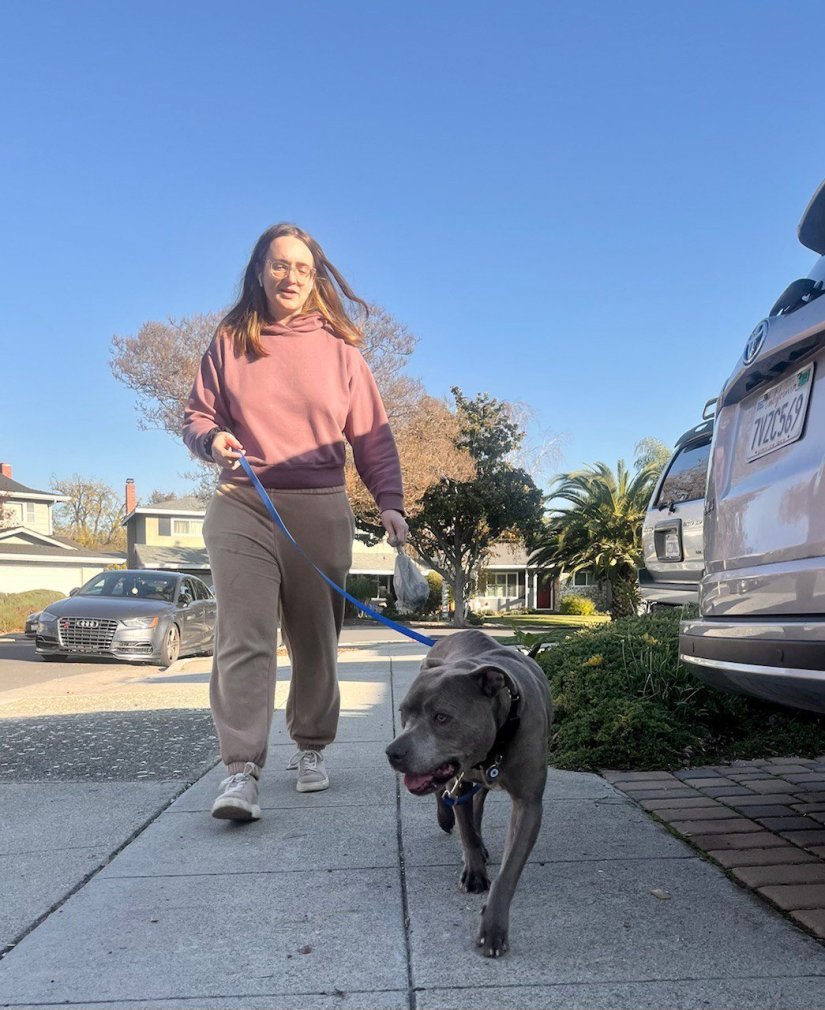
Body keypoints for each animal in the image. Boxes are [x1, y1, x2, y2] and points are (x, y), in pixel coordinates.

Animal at [385, 629, 553, 957]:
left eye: (441, 717)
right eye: (403, 713)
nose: (392, 752)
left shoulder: (528, 804)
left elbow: (508, 871)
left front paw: (493, 928)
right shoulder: (460, 779)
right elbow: (465, 833)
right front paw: (474, 872)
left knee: (477, 803)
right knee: (448, 798)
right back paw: (447, 820)